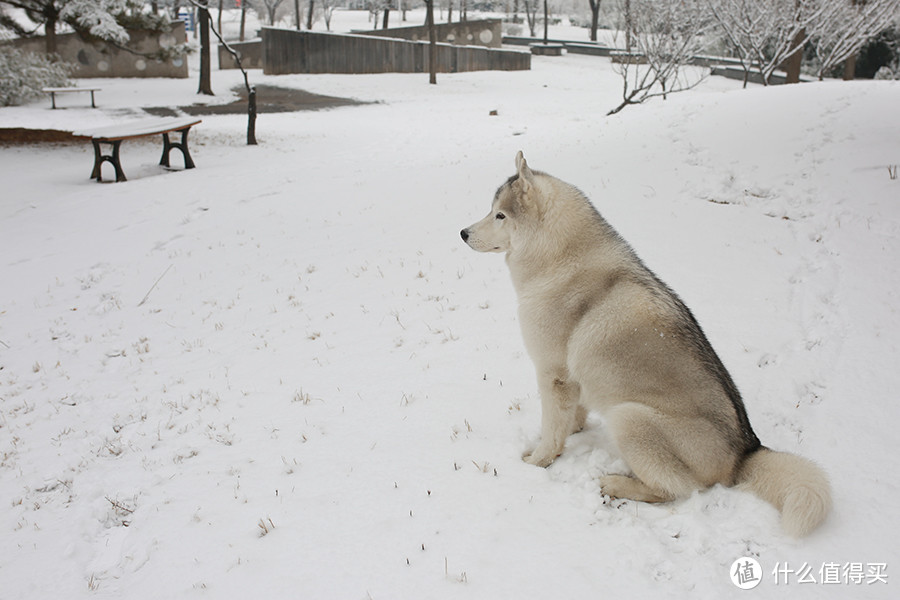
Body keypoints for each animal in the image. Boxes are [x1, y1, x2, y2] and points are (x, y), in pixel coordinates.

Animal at [460, 152, 832, 536]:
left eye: (500, 215)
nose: (463, 233)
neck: (558, 258)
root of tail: (745, 453)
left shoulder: (553, 374)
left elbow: (551, 431)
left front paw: (538, 461)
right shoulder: (572, 379)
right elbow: (571, 415)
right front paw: (573, 431)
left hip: (630, 417)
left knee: (676, 489)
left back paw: (616, 484)